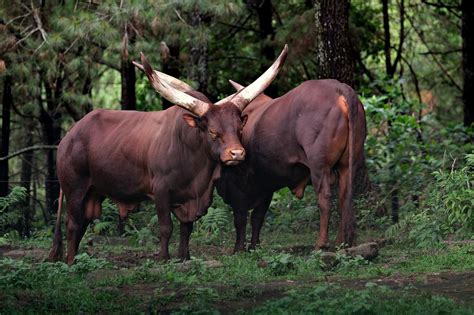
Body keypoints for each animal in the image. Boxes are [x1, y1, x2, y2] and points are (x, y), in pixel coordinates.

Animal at [48, 46, 286, 264]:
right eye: (212, 131)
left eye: (239, 128)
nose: (236, 153)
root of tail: (69, 136)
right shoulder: (160, 190)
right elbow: (166, 227)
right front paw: (163, 258)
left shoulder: (190, 198)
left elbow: (186, 228)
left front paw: (184, 257)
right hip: (75, 188)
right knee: (73, 225)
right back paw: (70, 262)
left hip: (92, 193)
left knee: (81, 225)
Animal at [217, 79, 368, 252]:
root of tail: (340, 88)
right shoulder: (266, 185)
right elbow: (257, 217)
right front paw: (254, 246)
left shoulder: (239, 186)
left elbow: (241, 219)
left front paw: (239, 249)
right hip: (348, 165)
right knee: (345, 196)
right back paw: (342, 242)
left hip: (319, 166)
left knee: (325, 198)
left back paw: (321, 244)